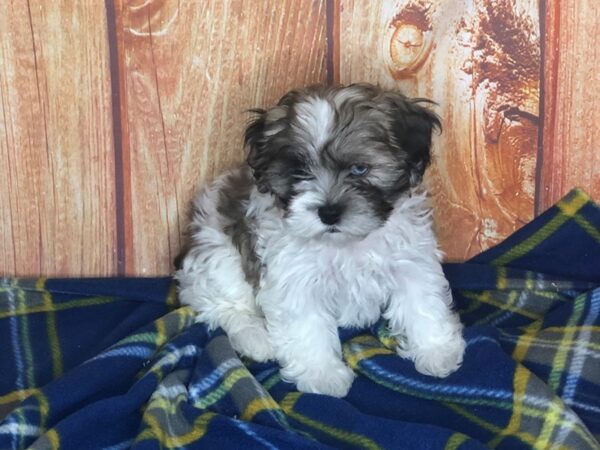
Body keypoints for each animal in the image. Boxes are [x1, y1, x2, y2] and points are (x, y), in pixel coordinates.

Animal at [176, 83, 466, 398]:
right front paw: (322, 373)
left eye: (360, 169)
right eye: (300, 172)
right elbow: (307, 325)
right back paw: (256, 338)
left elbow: (422, 303)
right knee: (220, 305)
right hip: (218, 256)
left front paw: (436, 350)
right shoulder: (295, 279)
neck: (347, 243)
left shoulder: (410, 260)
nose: (329, 212)